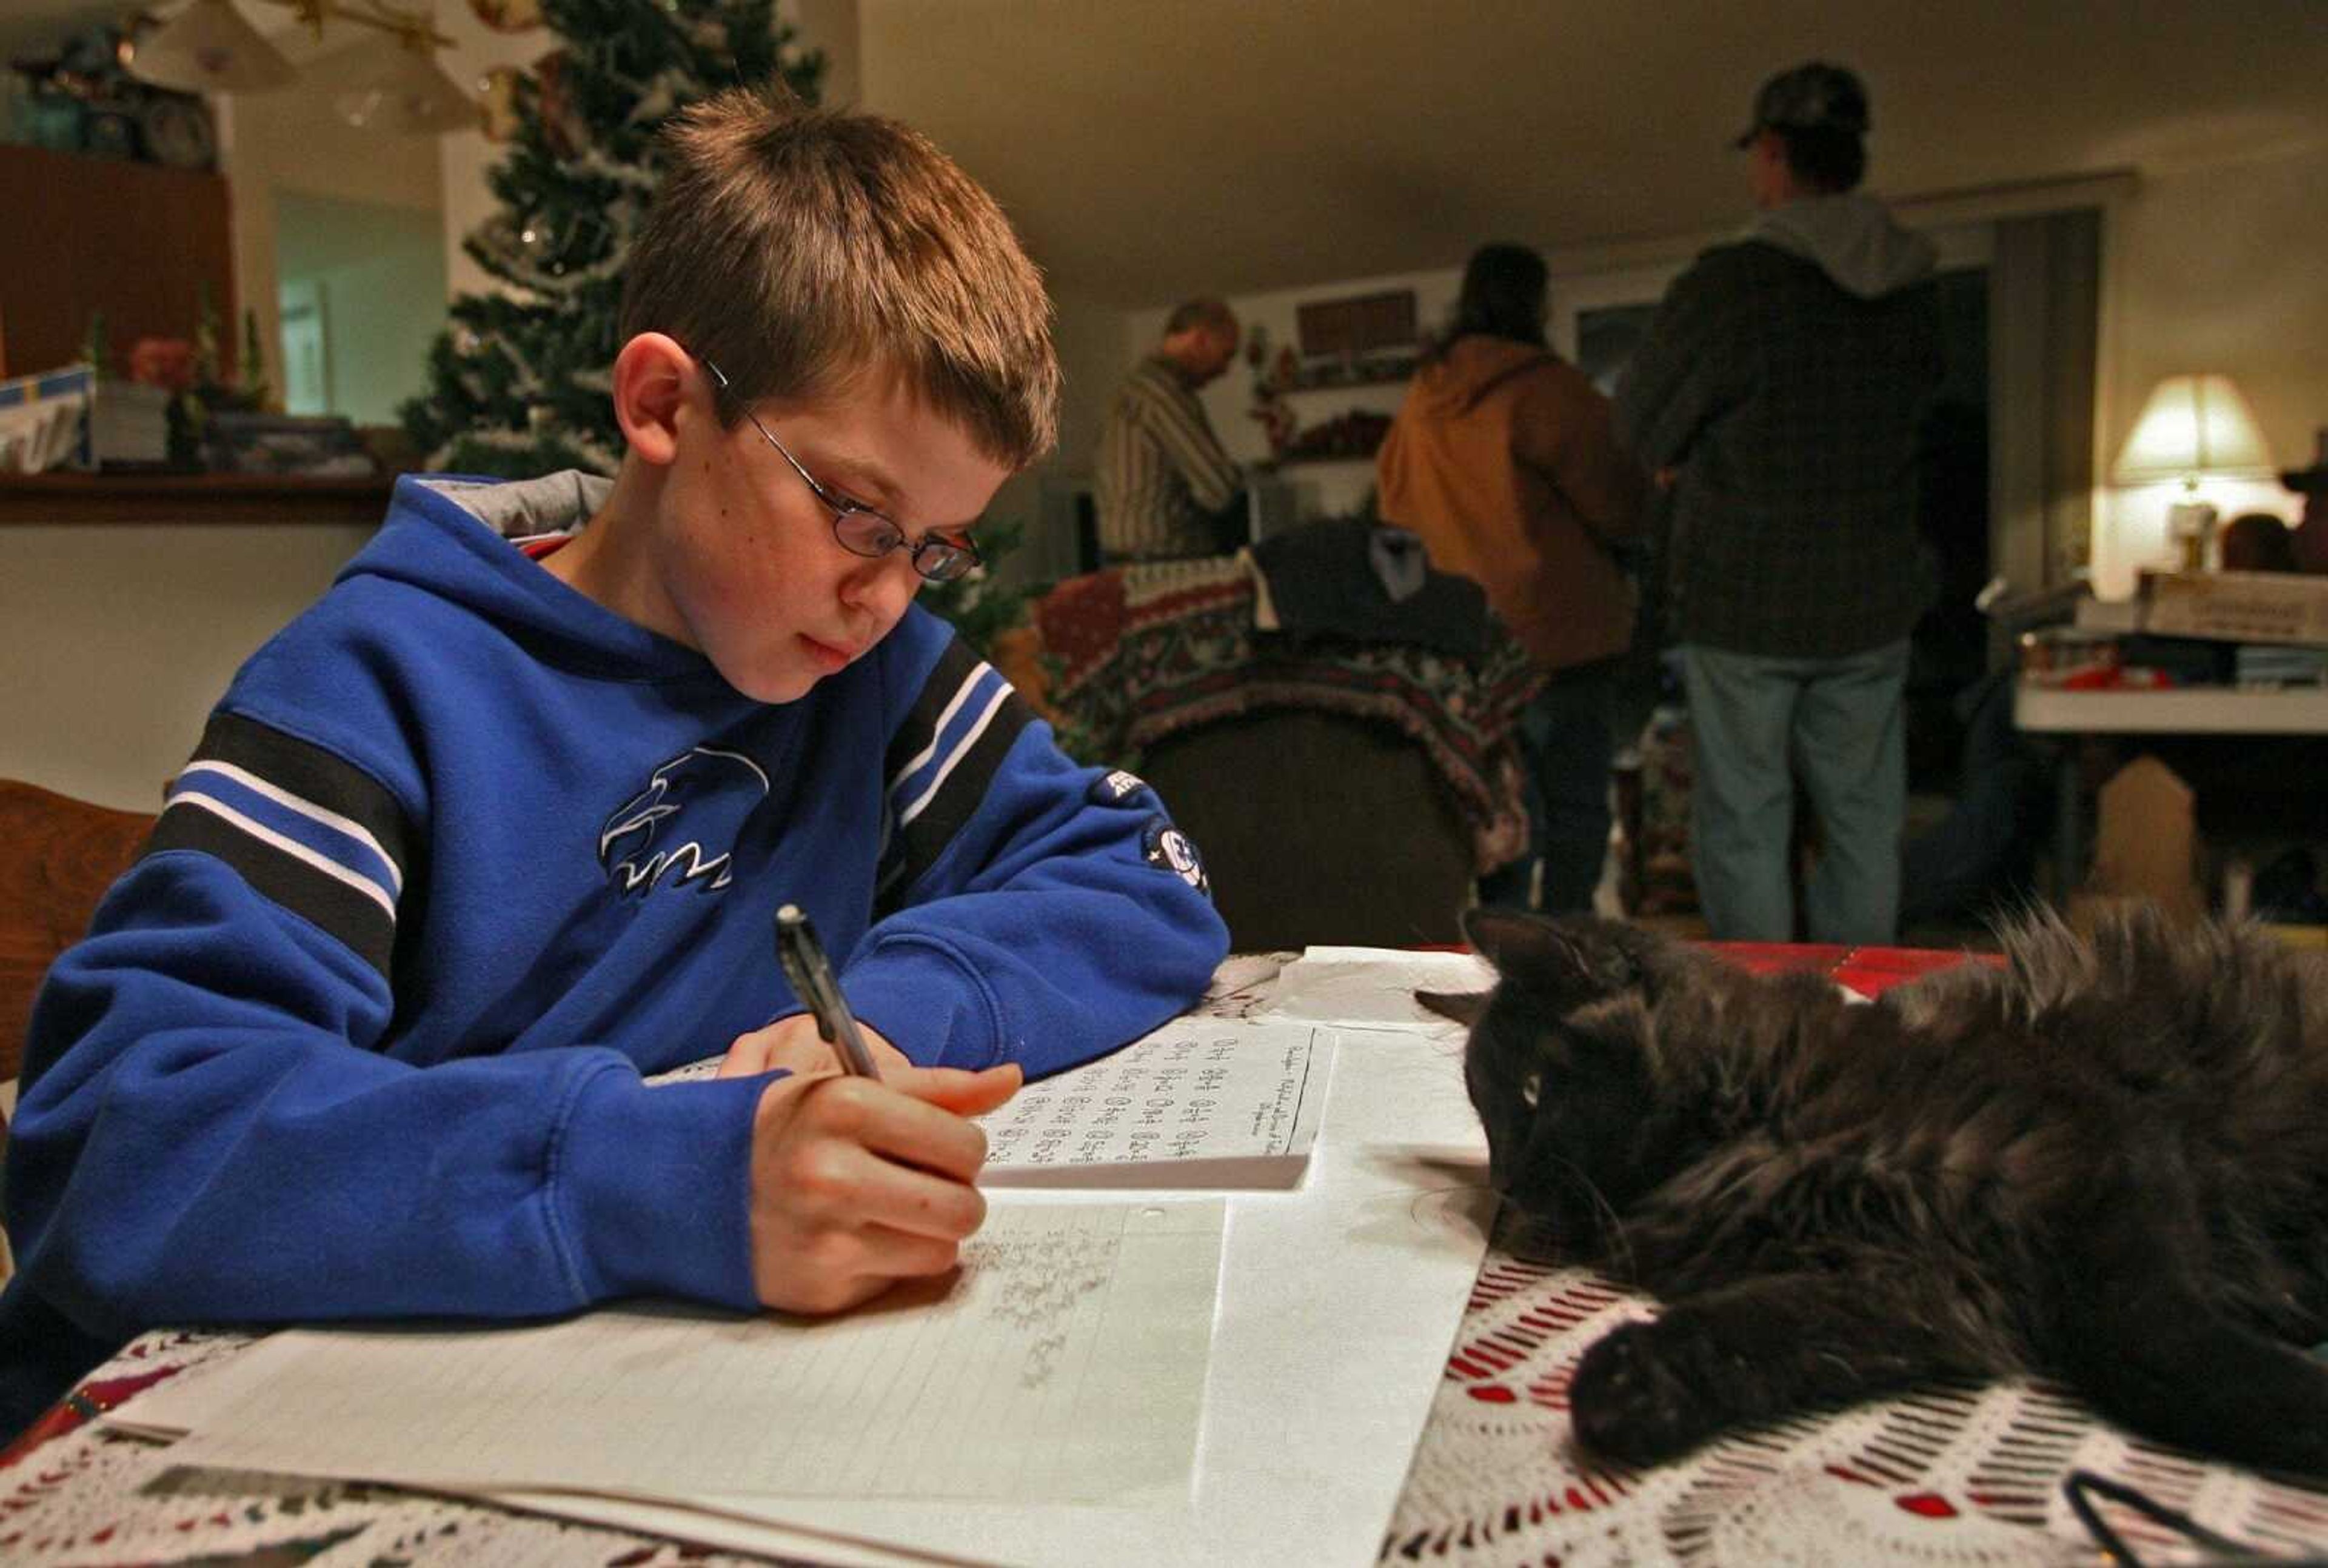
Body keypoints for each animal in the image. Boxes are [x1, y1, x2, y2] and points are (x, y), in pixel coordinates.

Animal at [1415, 898, 2328, 1470]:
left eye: (1533, 1091)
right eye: (1485, 1119)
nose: (1506, 1182)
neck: (1758, 1114)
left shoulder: (2109, 1151)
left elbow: (2156, 1343)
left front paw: (2301, 1396)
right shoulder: (1909, 1282)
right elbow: (1754, 1329)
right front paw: (1630, 1386)